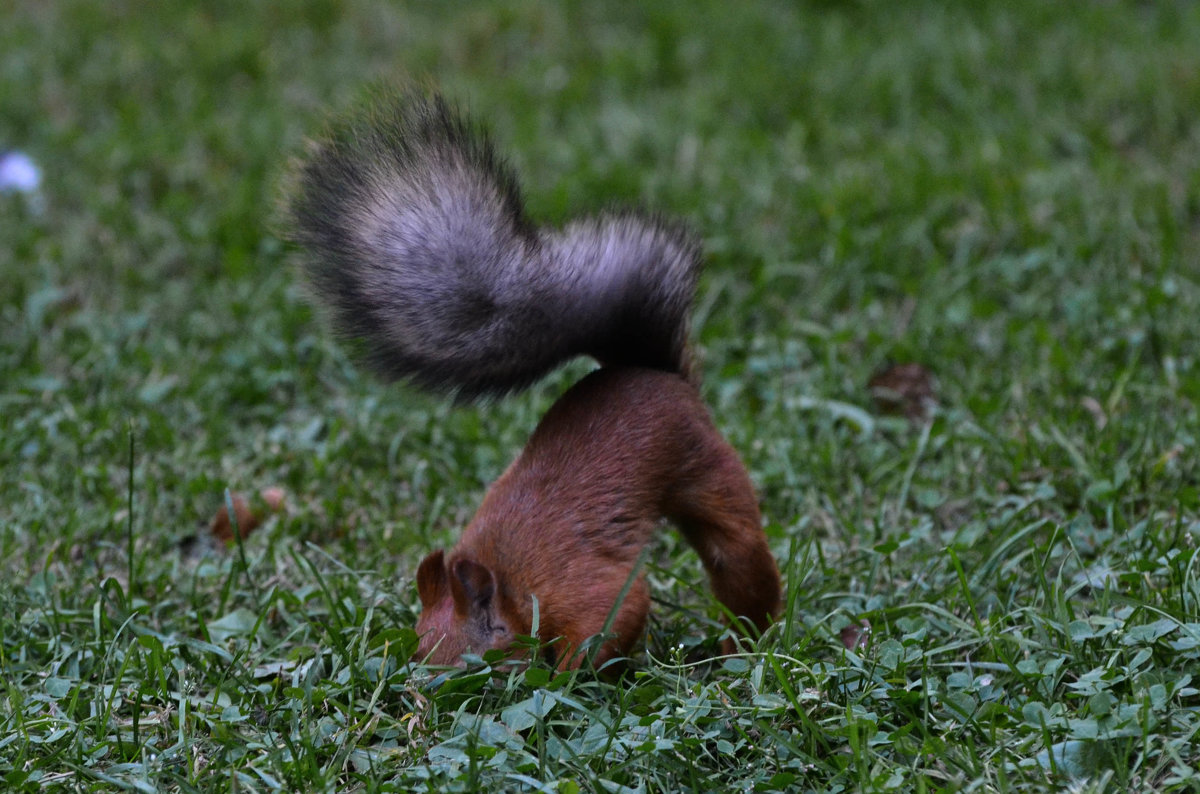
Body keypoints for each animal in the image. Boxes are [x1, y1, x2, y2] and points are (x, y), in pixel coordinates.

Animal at [285, 89, 782, 666]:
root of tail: (652, 369)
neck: (509, 584)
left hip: (705, 471)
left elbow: (616, 616)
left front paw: (567, 676)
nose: (415, 690)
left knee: (736, 553)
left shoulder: (584, 590)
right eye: (416, 651)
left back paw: (744, 640)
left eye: (465, 663)